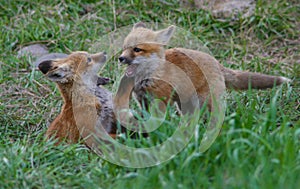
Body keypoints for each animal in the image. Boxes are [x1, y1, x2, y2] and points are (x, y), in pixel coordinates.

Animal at [117, 21, 290, 112]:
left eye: (137, 49)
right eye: (124, 48)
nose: (121, 58)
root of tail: (217, 63)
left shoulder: (160, 100)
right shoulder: (142, 101)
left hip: (203, 102)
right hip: (184, 104)